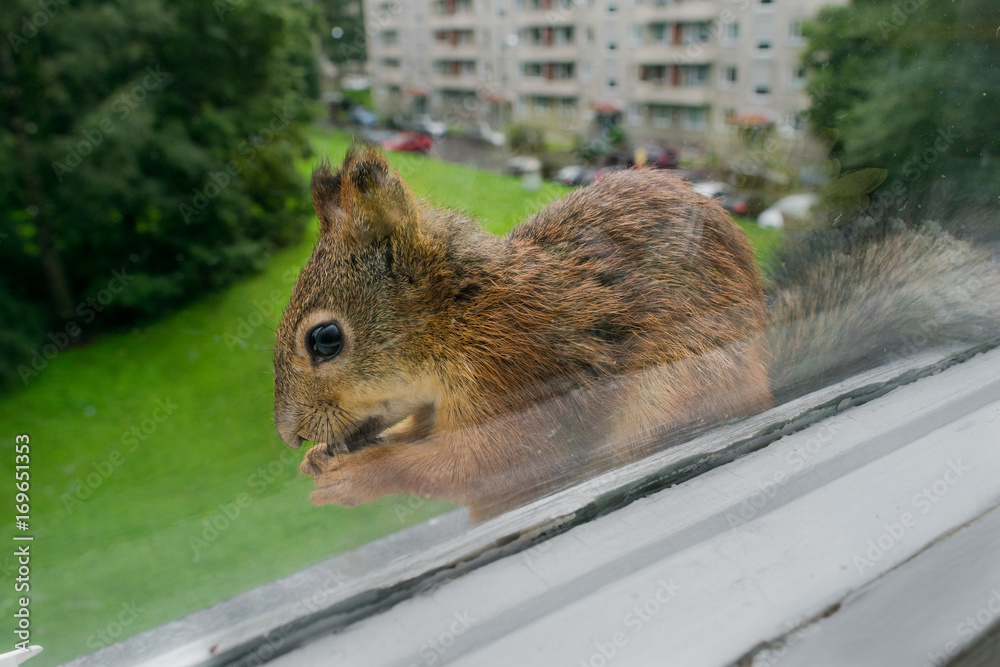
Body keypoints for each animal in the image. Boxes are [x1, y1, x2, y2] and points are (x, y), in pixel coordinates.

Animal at [274, 146, 1000, 520]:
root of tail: (766, 376)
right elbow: (423, 431)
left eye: (325, 339)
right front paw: (326, 458)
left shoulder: (523, 371)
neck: (459, 315)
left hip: (676, 394)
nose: (288, 435)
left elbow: (484, 459)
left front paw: (362, 473)